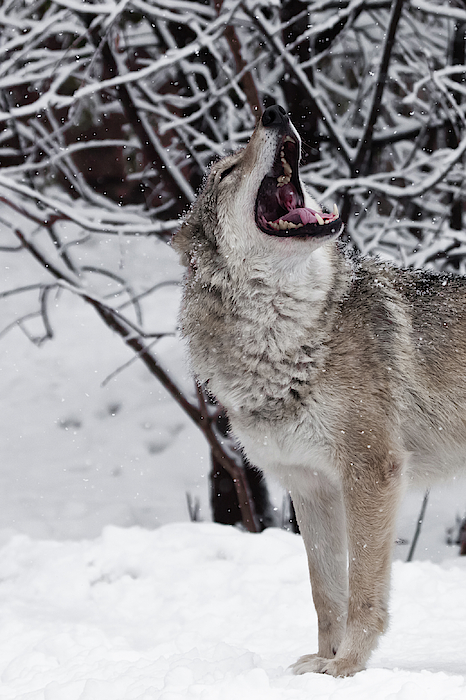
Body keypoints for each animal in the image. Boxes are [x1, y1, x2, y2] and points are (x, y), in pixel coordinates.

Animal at [173, 105, 466, 680]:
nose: (274, 110)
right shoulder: (309, 486)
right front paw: (320, 662)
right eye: (227, 171)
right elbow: (325, 591)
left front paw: (348, 665)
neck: (286, 338)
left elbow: (362, 590)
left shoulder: (370, 472)